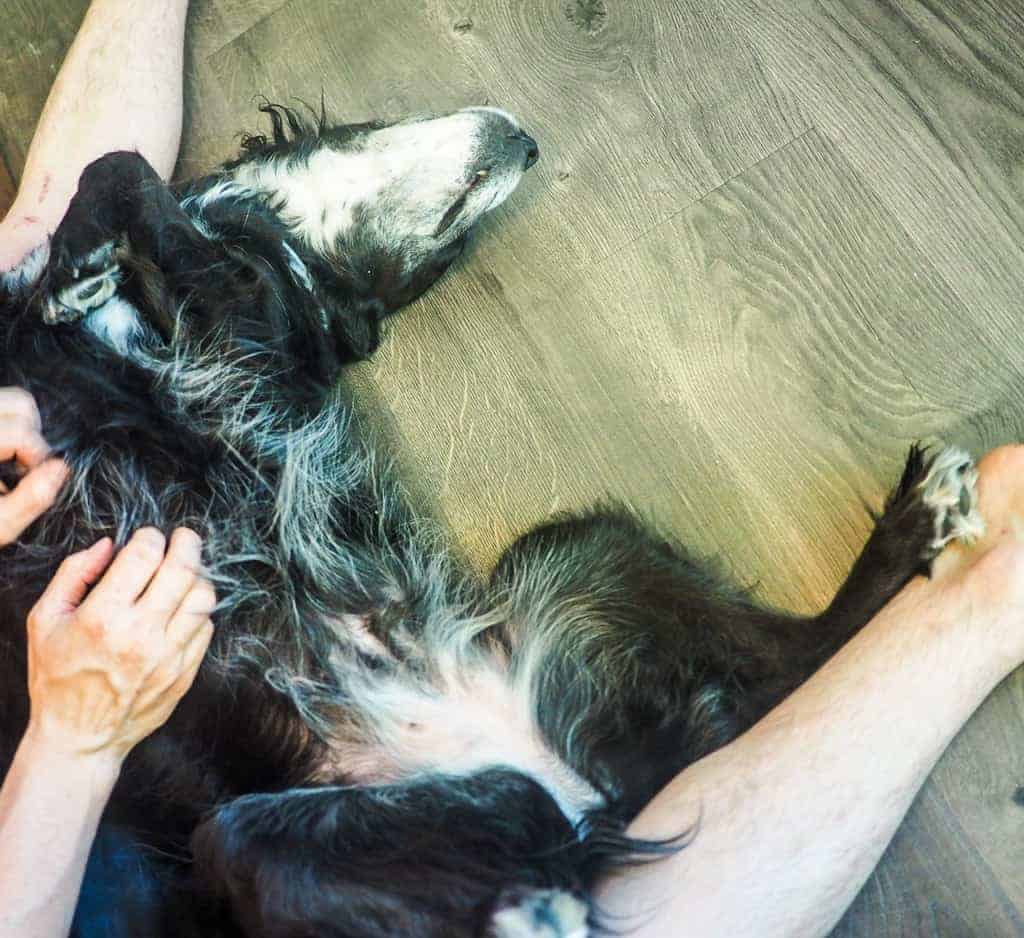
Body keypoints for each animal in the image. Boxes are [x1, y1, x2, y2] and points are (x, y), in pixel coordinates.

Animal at [0, 102, 983, 938]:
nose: (528, 138)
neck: (274, 245)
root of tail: (570, 778)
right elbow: (111, 176)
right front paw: (78, 268)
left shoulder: (247, 323)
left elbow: (125, 171)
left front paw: (82, 268)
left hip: (572, 556)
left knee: (792, 664)